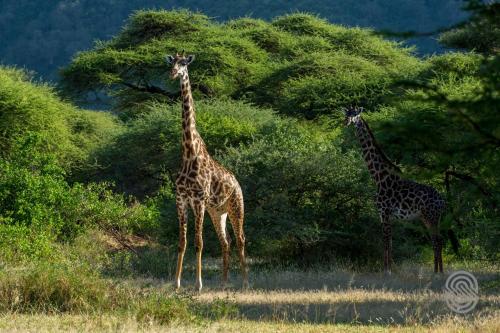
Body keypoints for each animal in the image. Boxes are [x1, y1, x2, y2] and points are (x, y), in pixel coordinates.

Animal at [166, 52, 248, 290]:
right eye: (171, 62)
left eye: (184, 63)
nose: (173, 73)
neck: (188, 152)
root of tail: (237, 183)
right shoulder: (181, 199)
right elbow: (182, 242)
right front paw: (176, 283)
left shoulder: (199, 200)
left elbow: (198, 242)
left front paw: (198, 284)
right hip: (217, 212)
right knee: (226, 241)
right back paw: (223, 282)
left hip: (236, 206)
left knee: (240, 238)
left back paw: (245, 282)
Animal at [344, 105, 446, 272]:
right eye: (346, 114)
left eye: (355, 115)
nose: (346, 121)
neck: (379, 178)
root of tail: (443, 202)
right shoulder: (386, 215)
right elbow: (390, 242)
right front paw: (390, 269)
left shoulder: (384, 212)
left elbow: (385, 242)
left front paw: (387, 271)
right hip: (428, 218)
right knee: (436, 241)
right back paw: (437, 272)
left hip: (432, 216)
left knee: (437, 241)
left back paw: (438, 273)